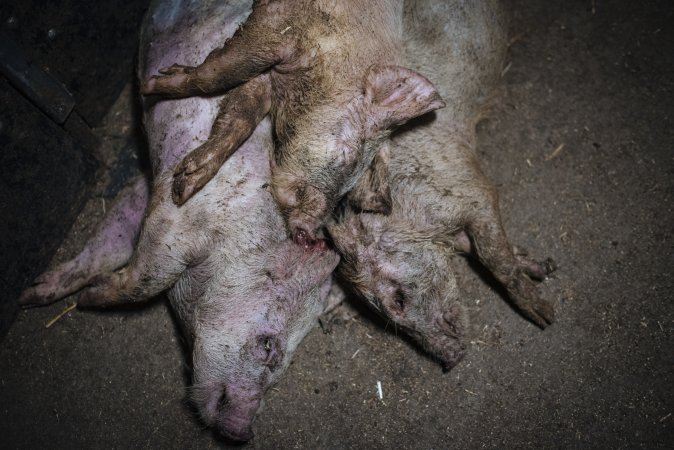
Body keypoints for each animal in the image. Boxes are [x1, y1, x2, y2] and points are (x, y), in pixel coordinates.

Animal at [19, 0, 339, 442]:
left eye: (283, 368)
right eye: (267, 346)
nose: (243, 432)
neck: (231, 241)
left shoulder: (146, 197)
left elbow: (111, 243)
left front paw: (31, 295)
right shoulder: (173, 224)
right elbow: (142, 281)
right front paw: (80, 299)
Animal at [141, 0, 446, 246]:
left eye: (350, 189)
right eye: (348, 156)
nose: (311, 236)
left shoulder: (270, 77)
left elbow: (240, 117)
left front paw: (183, 187)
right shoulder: (273, 27)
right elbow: (214, 76)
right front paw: (152, 85)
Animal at [327, 0, 555, 371]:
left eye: (397, 298)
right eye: (379, 316)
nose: (451, 360)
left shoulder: (470, 191)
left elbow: (495, 258)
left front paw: (546, 316)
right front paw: (545, 267)